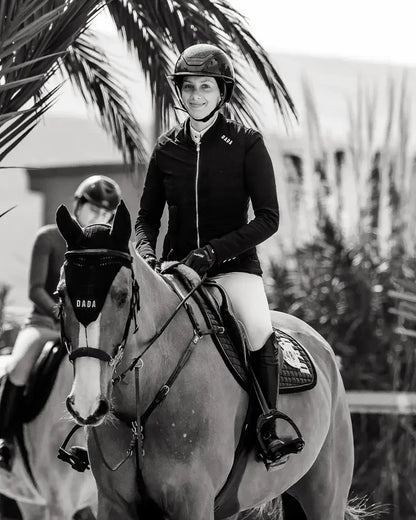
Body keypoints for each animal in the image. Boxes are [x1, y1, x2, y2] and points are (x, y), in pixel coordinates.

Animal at [55, 200, 360, 520]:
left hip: (324, 496)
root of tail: (319, 341)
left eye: (122, 295)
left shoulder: (193, 501)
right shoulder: (114, 503)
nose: (86, 403)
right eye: (61, 294)